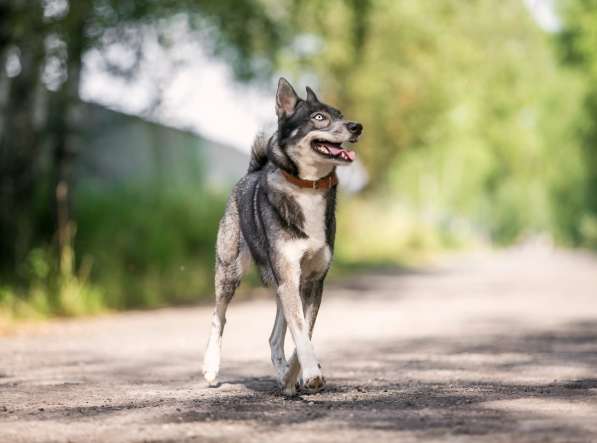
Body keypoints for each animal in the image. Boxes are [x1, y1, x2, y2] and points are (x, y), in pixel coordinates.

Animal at [201, 77, 364, 396]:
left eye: (340, 114)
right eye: (319, 117)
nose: (356, 126)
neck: (308, 186)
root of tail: (253, 171)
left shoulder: (310, 282)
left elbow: (305, 331)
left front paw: (294, 377)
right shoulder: (289, 277)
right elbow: (301, 332)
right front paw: (311, 373)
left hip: (281, 284)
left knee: (274, 337)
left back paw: (283, 374)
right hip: (230, 272)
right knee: (218, 317)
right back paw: (211, 368)